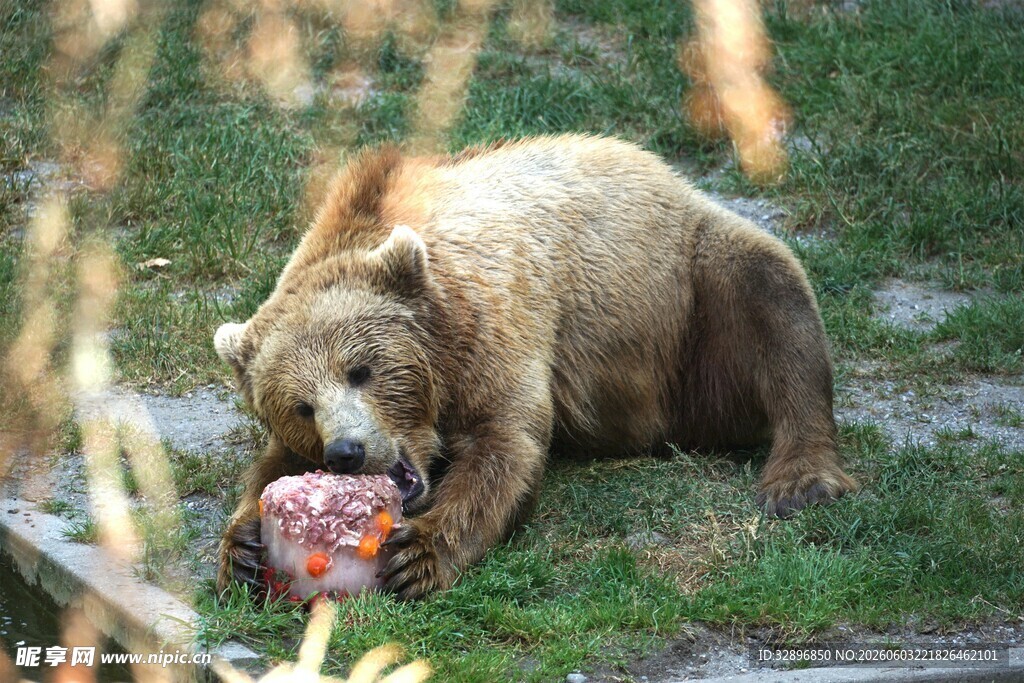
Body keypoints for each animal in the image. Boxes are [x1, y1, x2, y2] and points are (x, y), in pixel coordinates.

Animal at [214, 134, 857, 600]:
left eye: (361, 370)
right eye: (301, 406)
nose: (345, 451)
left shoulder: (497, 325)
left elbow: (505, 445)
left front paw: (415, 556)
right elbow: (271, 466)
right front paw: (241, 548)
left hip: (688, 295)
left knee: (774, 298)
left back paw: (800, 479)